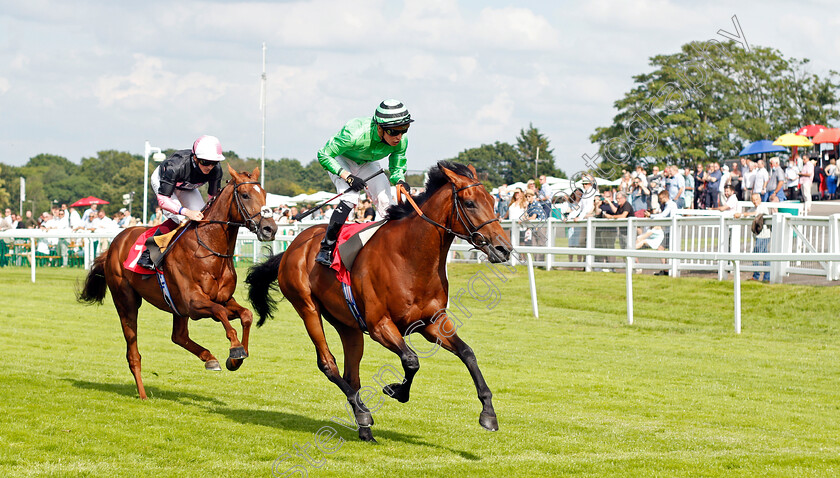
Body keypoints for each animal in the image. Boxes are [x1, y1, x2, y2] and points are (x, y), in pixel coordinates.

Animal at [77, 166, 278, 398]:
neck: (209, 248)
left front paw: (236, 358)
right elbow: (220, 313)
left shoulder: (223, 299)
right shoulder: (194, 304)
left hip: (176, 307)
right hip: (126, 302)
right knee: (133, 353)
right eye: (245, 195)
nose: (270, 229)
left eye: (265, 195)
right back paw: (143, 394)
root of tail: (113, 245)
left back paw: (210, 359)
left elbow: (246, 315)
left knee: (178, 336)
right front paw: (235, 349)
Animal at [246, 162, 512, 440]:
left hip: (347, 324)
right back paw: (363, 413)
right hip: (307, 308)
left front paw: (488, 413)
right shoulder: (379, 325)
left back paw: (364, 429)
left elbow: (467, 353)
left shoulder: (432, 322)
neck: (410, 257)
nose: (504, 249)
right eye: (470, 203)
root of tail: (292, 246)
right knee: (328, 364)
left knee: (351, 374)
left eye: (492, 200)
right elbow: (411, 360)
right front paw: (397, 390)